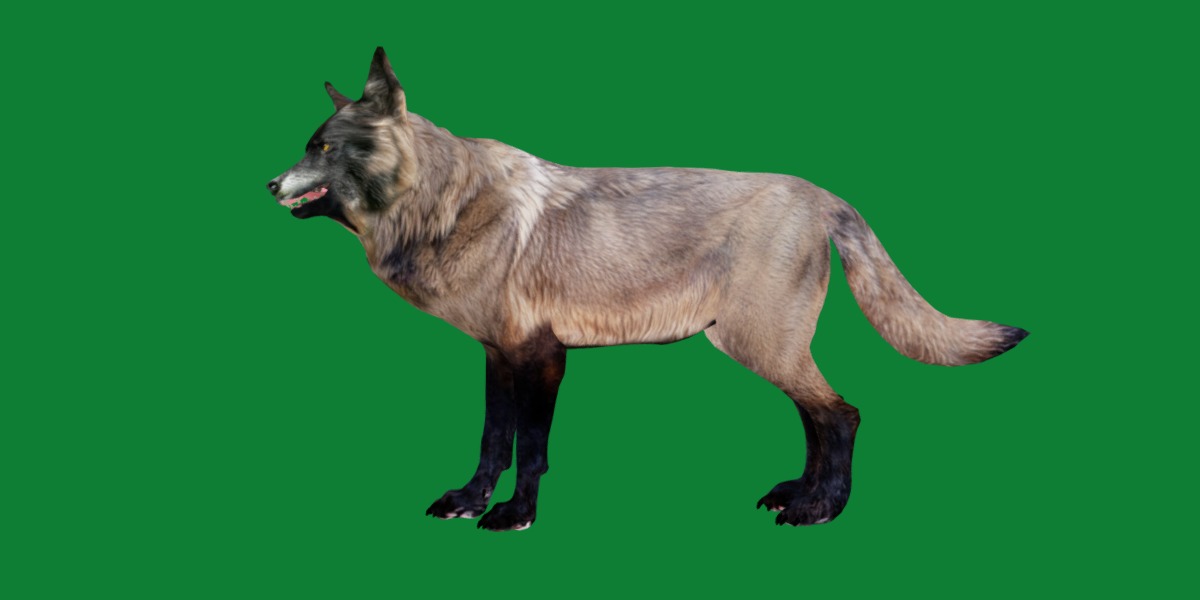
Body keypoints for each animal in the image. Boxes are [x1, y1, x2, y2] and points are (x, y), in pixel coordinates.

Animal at [267, 47, 1028, 531]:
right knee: (818, 418)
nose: (269, 184)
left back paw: (820, 510)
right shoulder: (497, 357)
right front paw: (471, 501)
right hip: (764, 349)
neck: (444, 208)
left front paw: (515, 515)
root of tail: (826, 196)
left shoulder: (541, 358)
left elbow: (530, 449)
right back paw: (799, 494)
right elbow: (492, 440)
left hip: (758, 346)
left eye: (322, 148)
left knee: (843, 415)